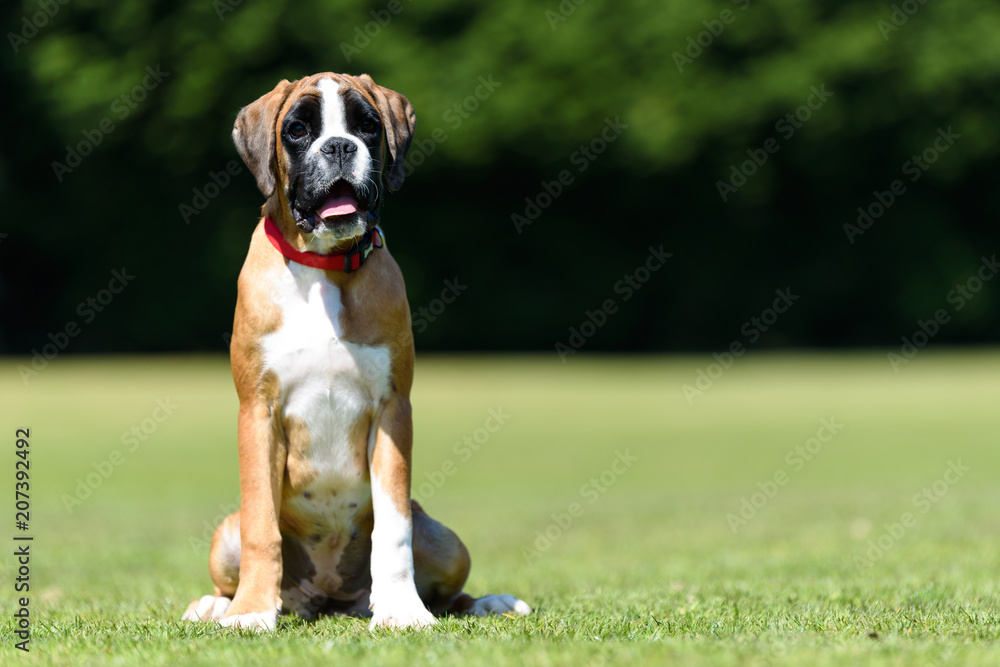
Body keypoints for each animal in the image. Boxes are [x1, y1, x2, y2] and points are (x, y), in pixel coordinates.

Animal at [181, 73, 532, 632]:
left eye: (367, 126)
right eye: (298, 129)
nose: (341, 146)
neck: (324, 269)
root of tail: (326, 599)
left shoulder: (392, 411)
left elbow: (393, 528)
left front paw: (402, 610)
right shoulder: (257, 410)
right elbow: (262, 527)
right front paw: (252, 611)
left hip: (446, 540)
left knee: (447, 587)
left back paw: (489, 602)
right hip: (224, 535)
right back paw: (218, 604)